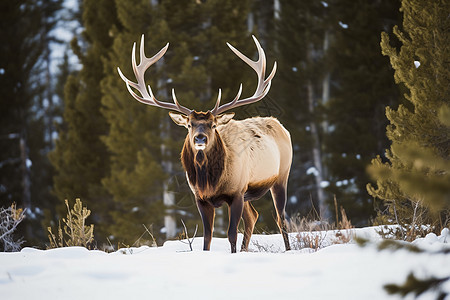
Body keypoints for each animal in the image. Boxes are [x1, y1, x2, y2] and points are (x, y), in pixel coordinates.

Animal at [118, 34, 292, 252]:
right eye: (190, 124)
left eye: (213, 124)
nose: (200, 138)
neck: (210, 182)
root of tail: (280, 126)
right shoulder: (201, 199)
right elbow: (207, 237)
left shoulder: (236, 192)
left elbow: (231, 234)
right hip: (250, 193)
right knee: (253, 217)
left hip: (281, 176)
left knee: (281, 219)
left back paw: (288, 249)